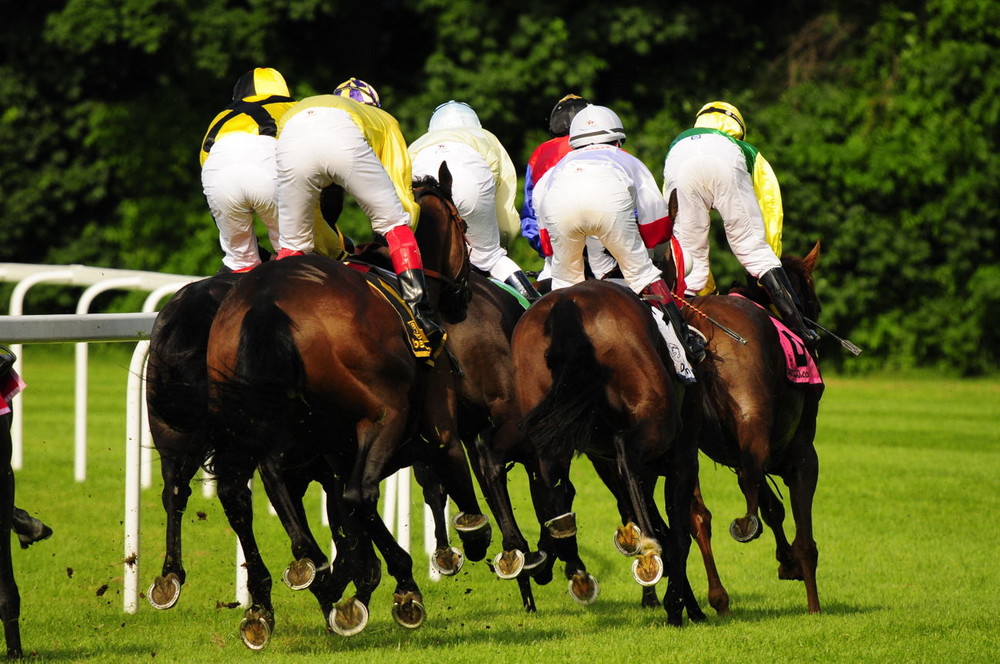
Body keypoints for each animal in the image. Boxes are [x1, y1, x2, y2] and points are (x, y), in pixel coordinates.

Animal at [203, 167, 492, 648]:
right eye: (464, 226)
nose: (464, 296)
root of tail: (265, 302)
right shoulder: (435, 430)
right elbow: (444, 475)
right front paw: (471, 535)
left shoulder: (334, 455)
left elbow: (352, 522)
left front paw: (351, 584)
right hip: (382, 416)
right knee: (357, 493)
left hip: (250, 423)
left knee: (245, 491)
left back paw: (284, 587)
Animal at [512, 280, 708, 628]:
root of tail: (568, 302)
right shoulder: (683, 460)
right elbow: (679, 535)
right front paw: (680, 607)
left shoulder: (608, 467)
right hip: (655, 426)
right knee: (625, 452)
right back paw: (646, 551)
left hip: (548, 436)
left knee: (554, 489)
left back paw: (569, 563)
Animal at [684, 241, 824, 616]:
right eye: (813, 300)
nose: (814, 331)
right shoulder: (802, 454)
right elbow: (803, 537)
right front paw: (813, 605)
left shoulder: (735, 454)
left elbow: (772, 506)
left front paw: (786, 561)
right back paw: (745, 526)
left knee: (698, 514)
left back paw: (718, 597)